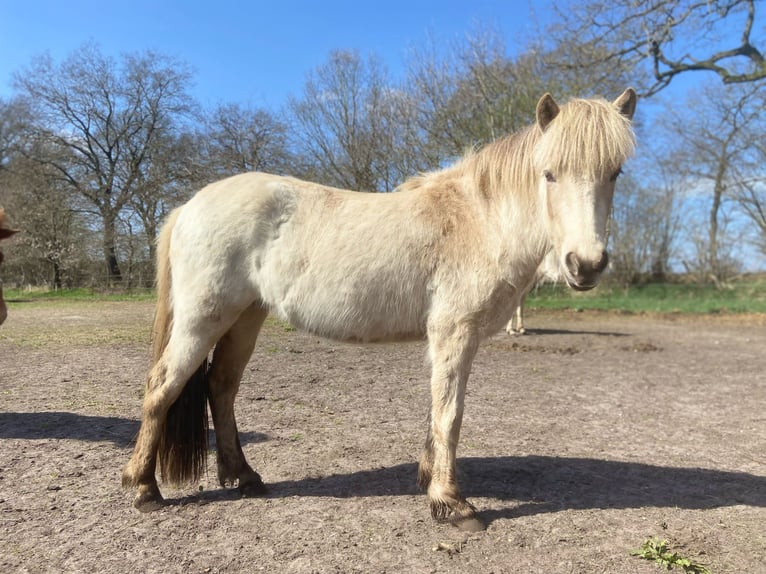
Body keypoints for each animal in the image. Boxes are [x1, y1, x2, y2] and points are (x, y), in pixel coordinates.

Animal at [122, 89, 637, 531]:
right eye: (549, 173)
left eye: (614, 173)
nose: (586, 264)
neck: (478, 220)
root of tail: (190, 205)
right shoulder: (454, 333)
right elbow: (450, 414)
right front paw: (452, 503)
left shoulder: (446, 340)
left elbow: (437, 410)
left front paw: (430, 481)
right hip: (203, 319)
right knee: (163, 387)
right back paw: (144, 488)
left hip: (245, 317)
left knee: (222, 388)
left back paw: (244, 477)